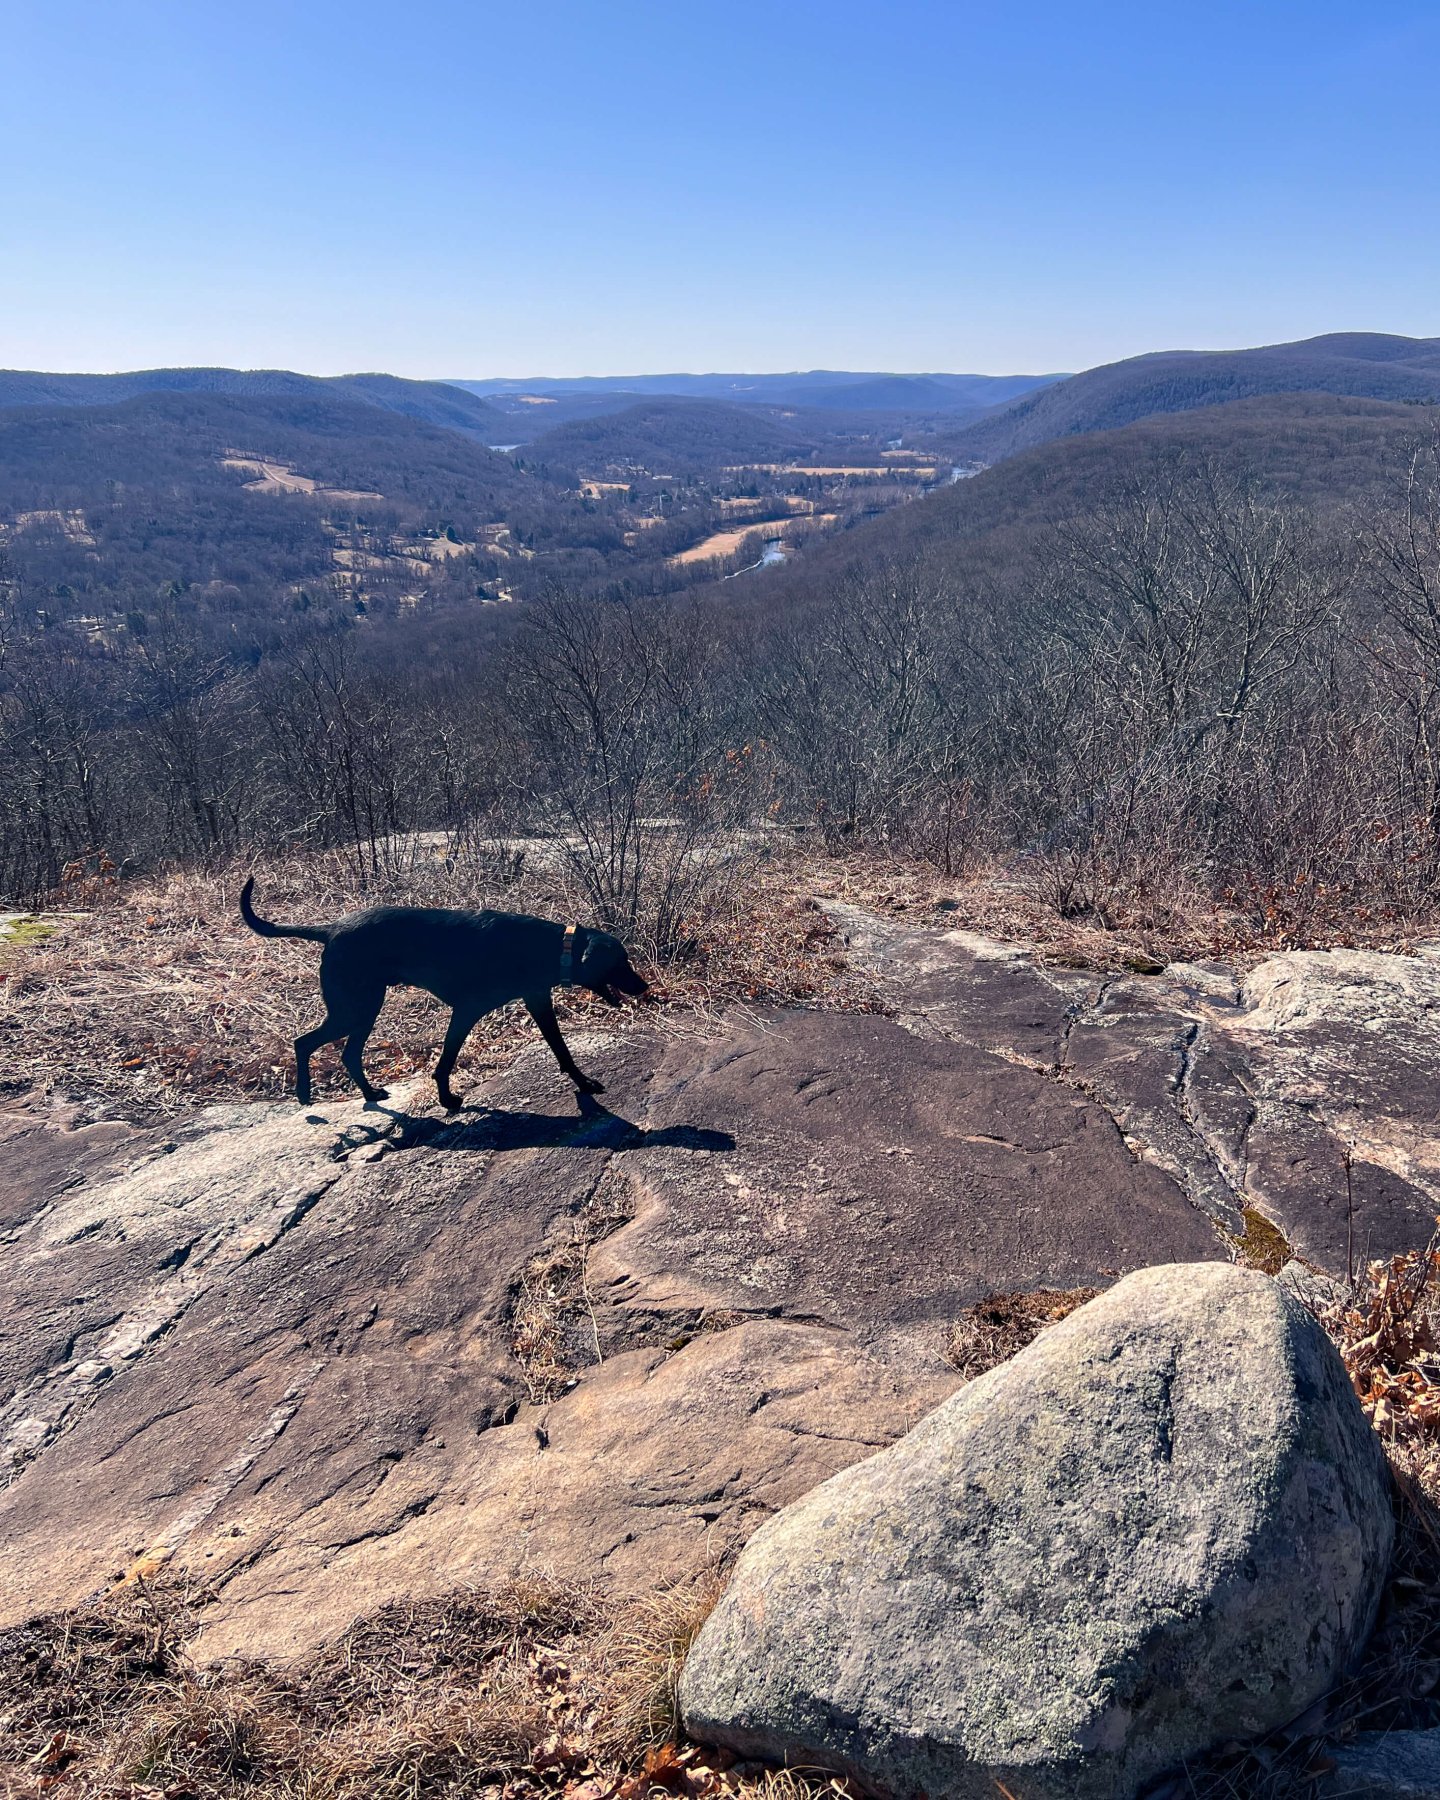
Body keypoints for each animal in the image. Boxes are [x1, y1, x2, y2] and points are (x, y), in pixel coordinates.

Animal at [241, 874, 648, 1108]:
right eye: (621, 962)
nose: (644, 987)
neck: (551, 947)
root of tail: (330, 929)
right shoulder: (467, 1010)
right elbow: (447, 1059)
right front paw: (447, 1098)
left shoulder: (537, 1000)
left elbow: (561, 1049)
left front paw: (583, 1082)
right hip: (355, 1008)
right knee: (305, 1043)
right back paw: (304, 1094)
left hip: (364, 1008)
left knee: (348, 1054)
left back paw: (370, 1094)